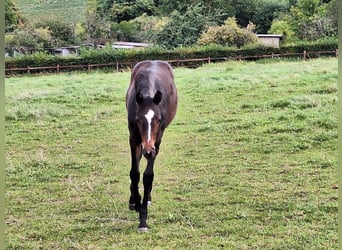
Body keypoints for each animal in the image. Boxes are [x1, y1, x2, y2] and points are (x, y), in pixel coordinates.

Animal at [126, 60, 179, 230]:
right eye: (138, 120)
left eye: (158, 119)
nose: (148, 150)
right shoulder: (134, 137)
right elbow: (134, 172)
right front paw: (136, 203)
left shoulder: (156, 140)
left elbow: (148, 175)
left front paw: (143, 219)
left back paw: (147, 198)